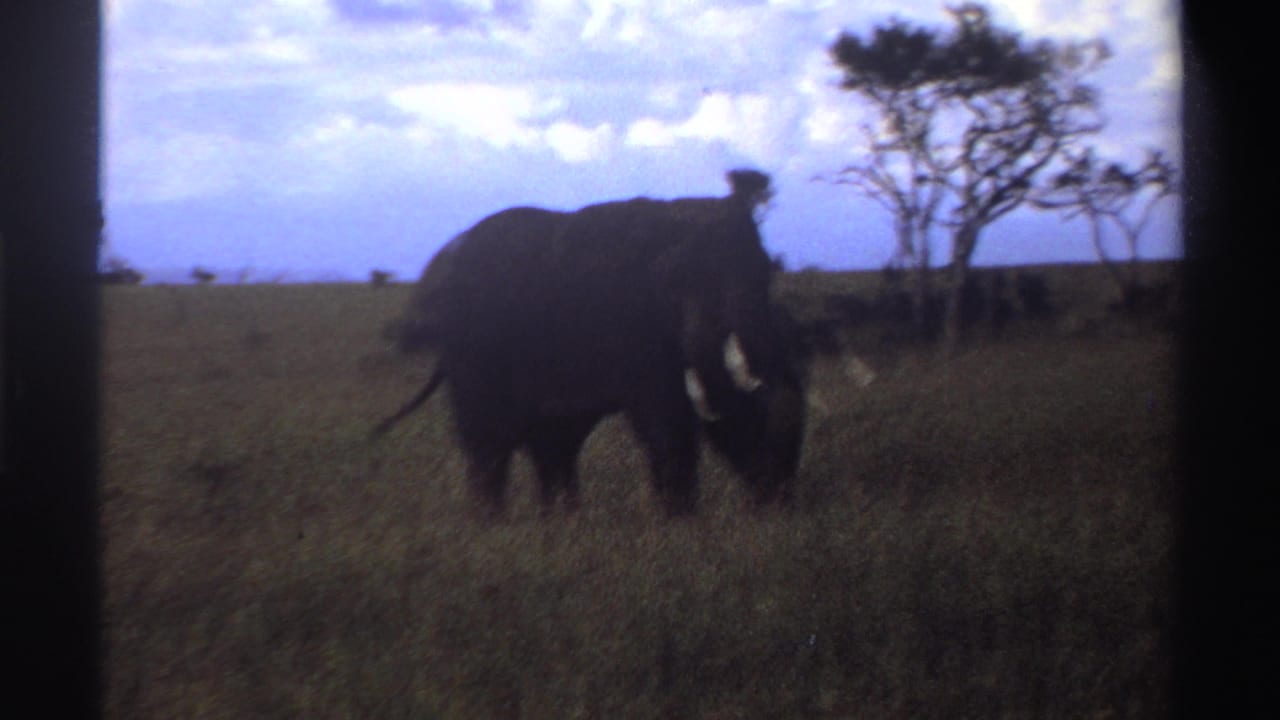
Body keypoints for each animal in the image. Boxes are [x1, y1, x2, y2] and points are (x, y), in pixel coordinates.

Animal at [374, 183, 806, 517]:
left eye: (766, 270)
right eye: (681, 278)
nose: (780, 505)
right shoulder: (638, 329)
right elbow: (667, 417)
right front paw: (681, 525)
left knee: (553, 446)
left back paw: (560, 522)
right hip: (474, 354)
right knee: (489, 443)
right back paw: (492, 526)